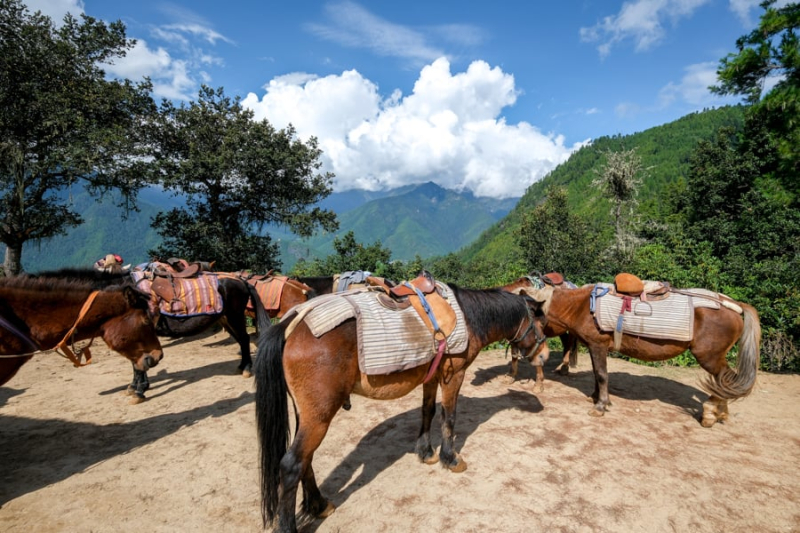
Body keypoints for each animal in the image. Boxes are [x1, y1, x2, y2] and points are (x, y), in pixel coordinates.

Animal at [520, 284, 760, 426]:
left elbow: (602, 375)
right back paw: (721, 413)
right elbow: (598, 374)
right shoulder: (594, 348)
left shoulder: (597, 346)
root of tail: (734, 305)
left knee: (724, 380)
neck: (581, 306)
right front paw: (597, 397)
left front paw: (600, 406)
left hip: (709, 357)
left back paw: (711, 413)